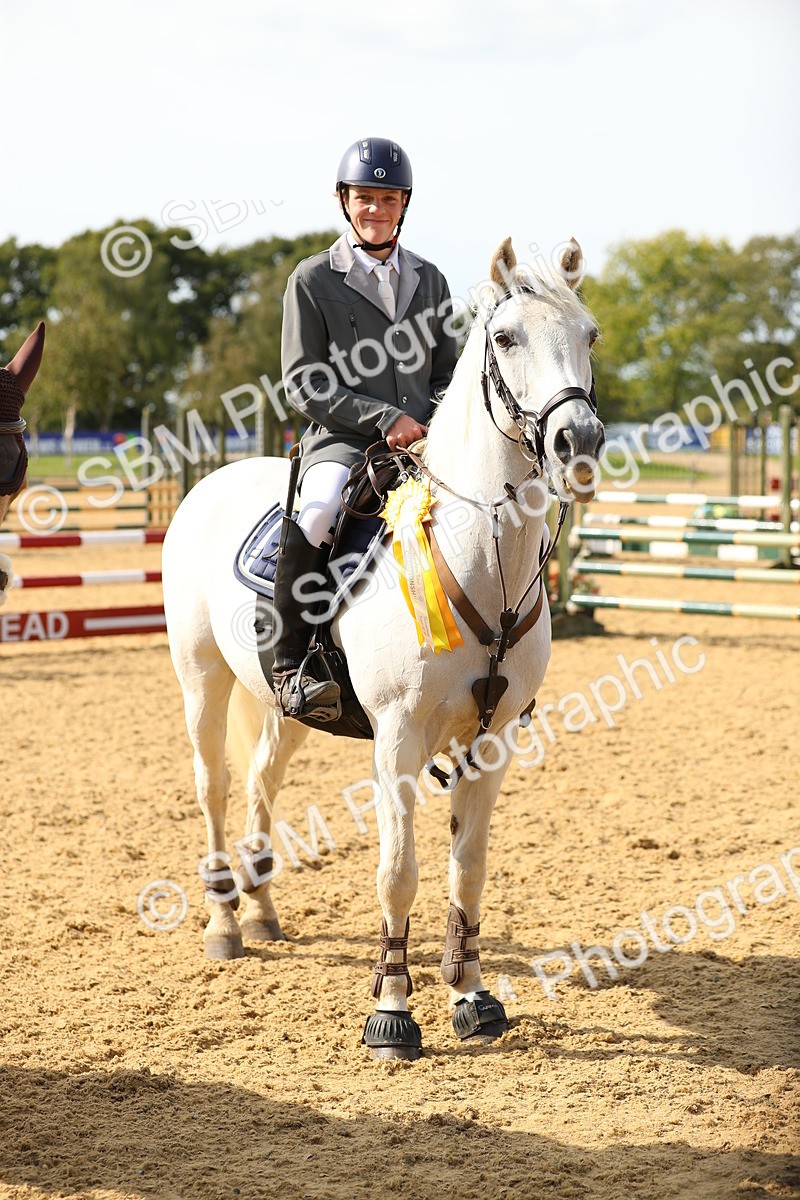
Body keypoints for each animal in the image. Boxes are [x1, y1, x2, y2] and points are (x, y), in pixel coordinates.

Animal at [162, 237, 605, 1059]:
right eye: (505, 338)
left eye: (588, 336)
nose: (578, 445)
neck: (480, 556)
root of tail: (213, 481)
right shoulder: (397, 738)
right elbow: (399, 871)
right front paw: (393, 1009)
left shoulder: (492, 741)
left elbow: (469, 869)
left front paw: (470, 994)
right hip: (200, 679)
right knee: (214, 786)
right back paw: (224, 920)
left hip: (288, 704)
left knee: (261, 779)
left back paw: (262, 909)